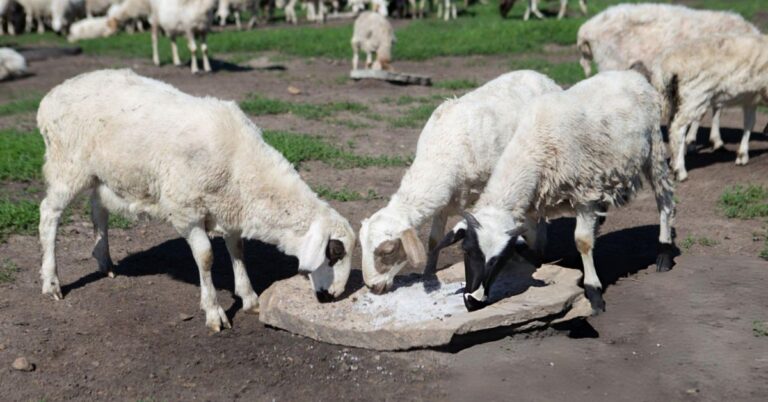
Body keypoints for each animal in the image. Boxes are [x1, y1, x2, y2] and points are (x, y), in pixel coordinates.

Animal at [36, 69, 356, 331]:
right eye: (335, 252)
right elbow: (205, 256)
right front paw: (214, 311)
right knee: (49, 214)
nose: (334, 296)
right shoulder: (185, 212)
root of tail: (52, 96)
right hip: (68, 164)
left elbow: (237, 249)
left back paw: (104, 261)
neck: (243, 167)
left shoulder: (229, 207)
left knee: (98, 209)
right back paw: (51, 282)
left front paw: (249, 297)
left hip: (103, 172)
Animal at [359, 70, 562, 294]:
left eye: (388, 251)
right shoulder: (444, 199)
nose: (373, 287)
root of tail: (540, 75)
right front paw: (428, 273)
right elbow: (434, 241)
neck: (442, 153)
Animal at [436, 70, 675, 313]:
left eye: (500, 259)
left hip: (654, 148)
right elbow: (533, 240)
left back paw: (664, 253)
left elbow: (582, 241)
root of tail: (629, 74)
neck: (534, 147)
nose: (472, 301)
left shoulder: (584, 194)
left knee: (664, 198)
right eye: (466, 250)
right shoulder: (532, 205)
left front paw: (594, 293)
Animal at [577, 3, 760, 152]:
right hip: (611, 65)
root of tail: (586, 29)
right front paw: (700, 140)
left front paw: (705, 139)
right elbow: (709, 109)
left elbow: (713, 107)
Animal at [653, 35, 768, 182]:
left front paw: (742, 155)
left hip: (675, 99)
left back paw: (674, 162)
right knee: (678, 128)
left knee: (671, 126)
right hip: (694, 95)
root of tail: (666, 65)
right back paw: (680, 171)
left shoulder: (750, 97)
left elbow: (749, 123)